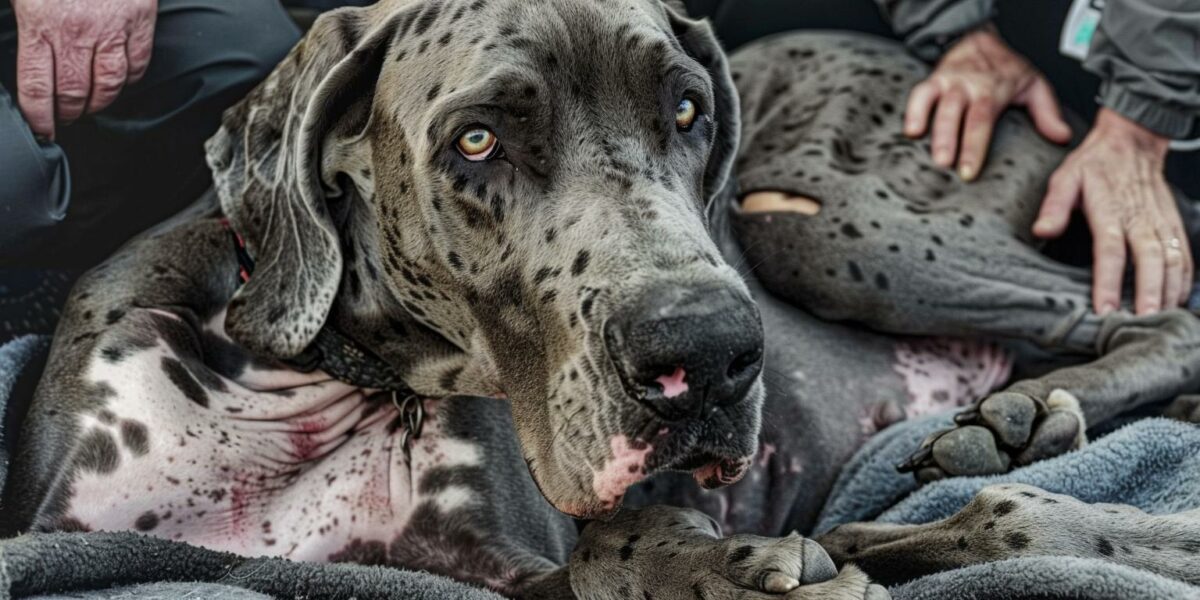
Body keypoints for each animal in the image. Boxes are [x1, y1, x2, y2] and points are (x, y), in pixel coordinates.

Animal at [2, 0, 1200, 597]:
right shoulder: (57, 525)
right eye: (476, 140)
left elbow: (601, 553)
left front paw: (721, 566)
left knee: (1155, 311)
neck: (318, 381)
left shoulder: (514, 563)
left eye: (688, 111)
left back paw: (1032, 419)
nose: (708, 358)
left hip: (819, 222)